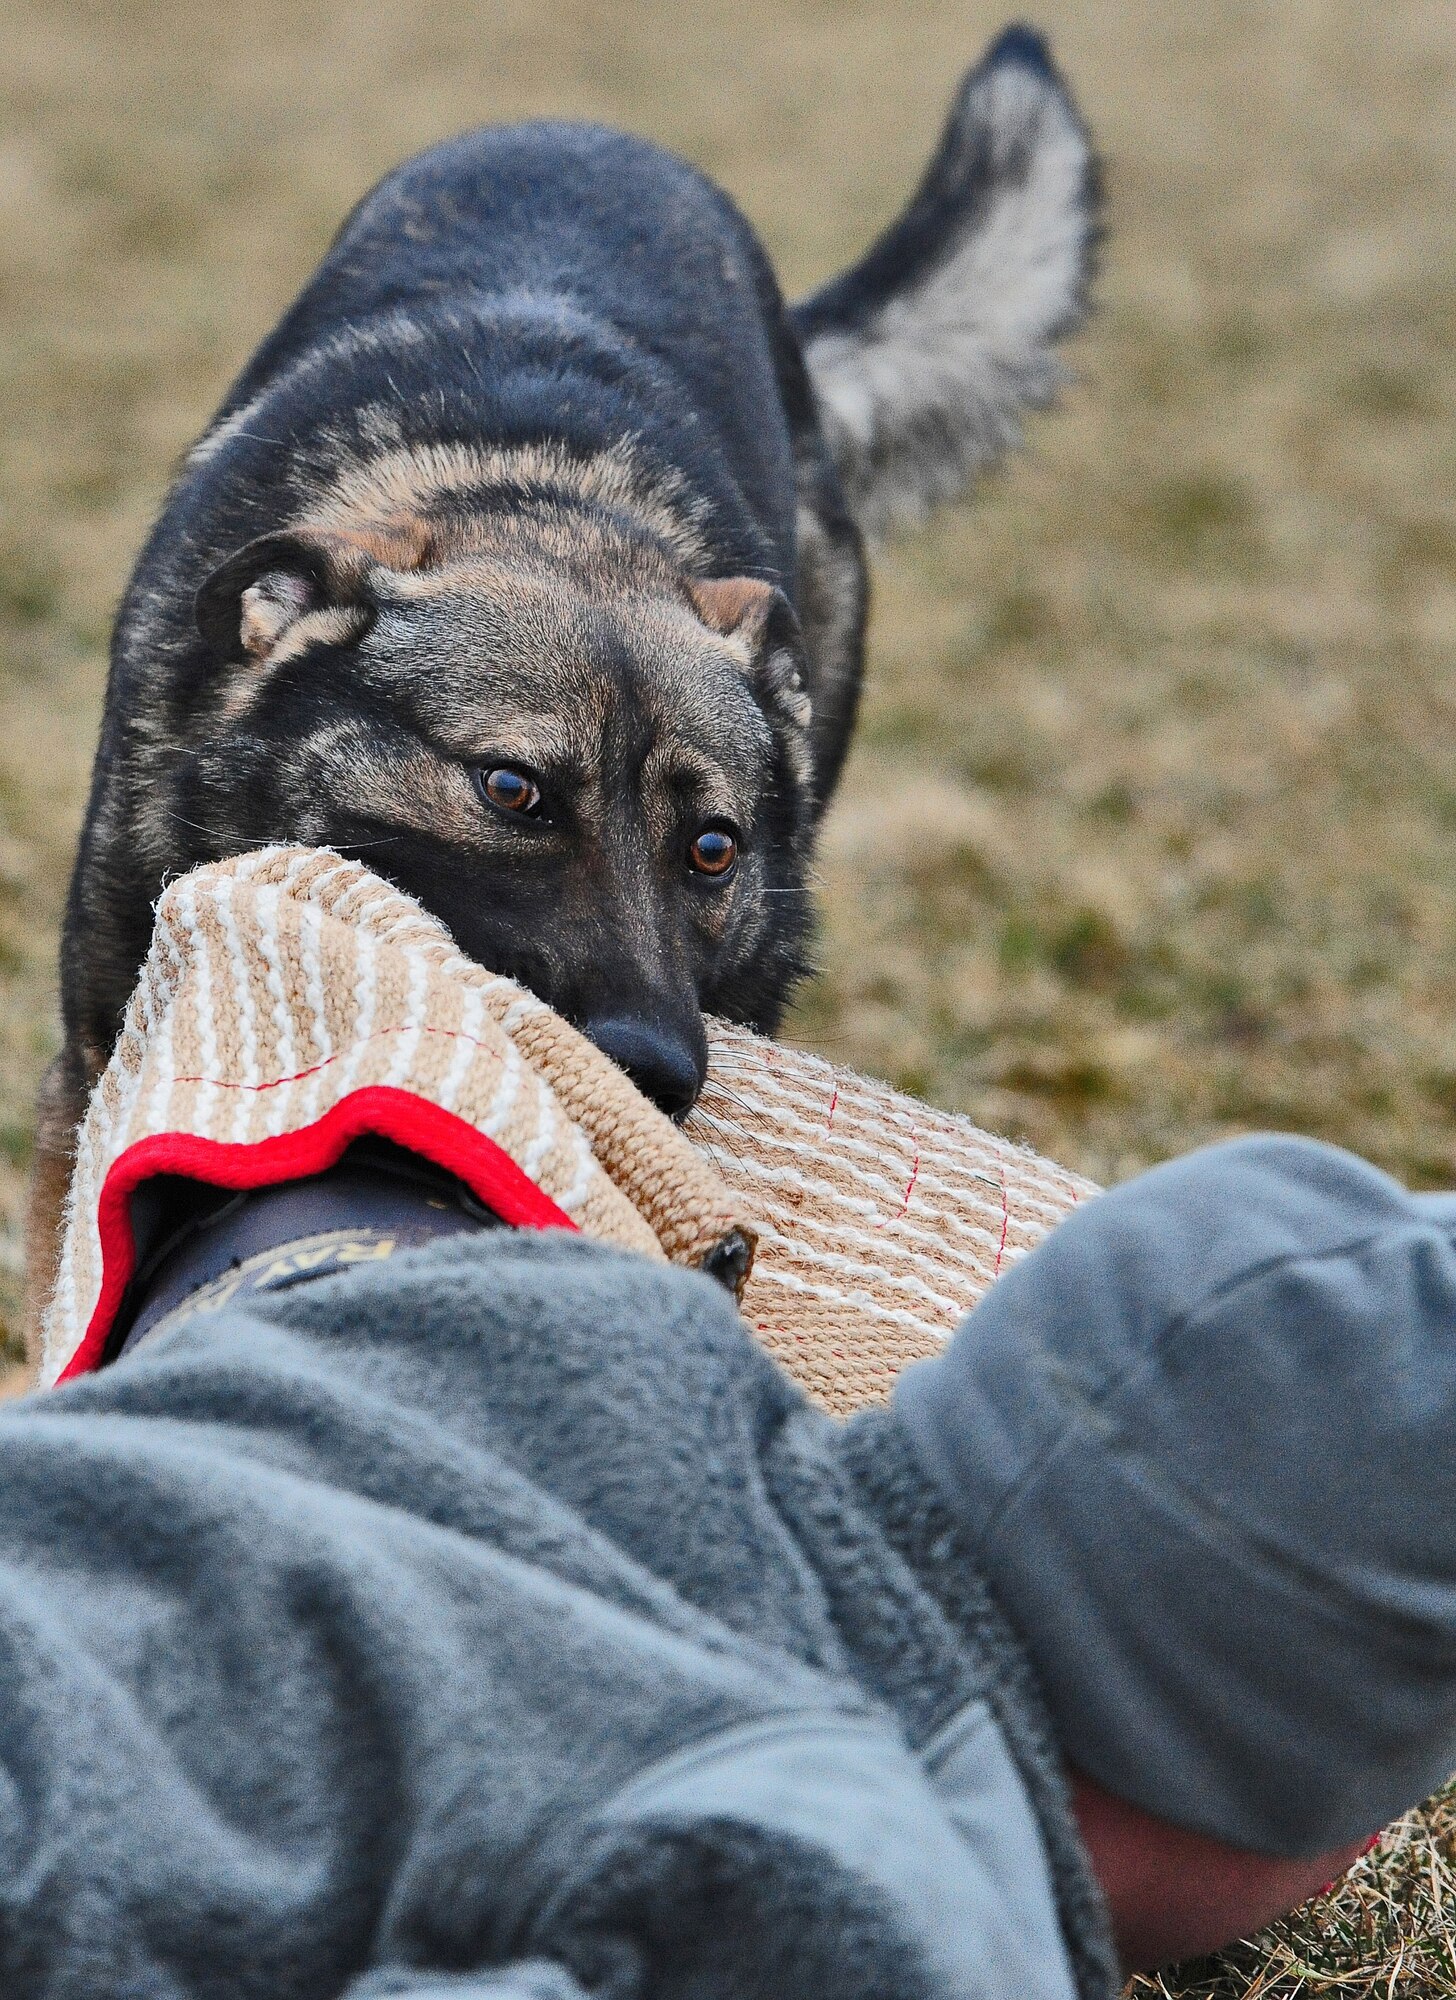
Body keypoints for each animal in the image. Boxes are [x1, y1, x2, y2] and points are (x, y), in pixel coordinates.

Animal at [25, 19, 1088, 1344]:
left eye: (713, 848)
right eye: (512, 789)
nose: (653, 1066)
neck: (539, 500)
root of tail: (596, 134)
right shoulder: (88, 1064)